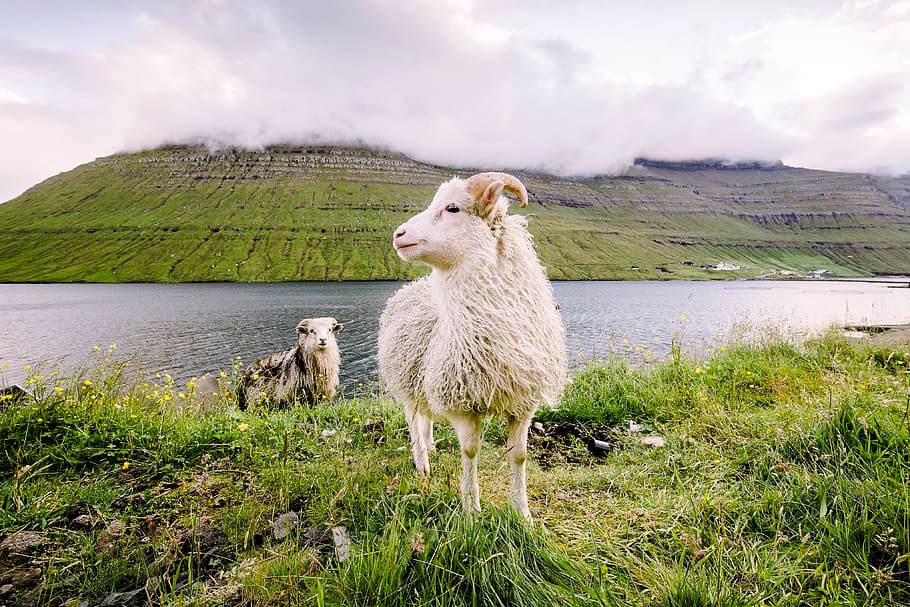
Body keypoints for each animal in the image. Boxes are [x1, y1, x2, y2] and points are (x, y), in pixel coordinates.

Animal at [376, 172, 564, 524]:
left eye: (452, 208)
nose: (398, 235)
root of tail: (411, 287)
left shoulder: (524, 401)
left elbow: (520, 456)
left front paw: (523, 514)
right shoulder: (462, 403)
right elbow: (470, 452)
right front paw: (471, 509)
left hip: (424, 379)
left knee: (425, 418)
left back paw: (430, 446)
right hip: (407, 382)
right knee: (413, 422)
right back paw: (422, 463)